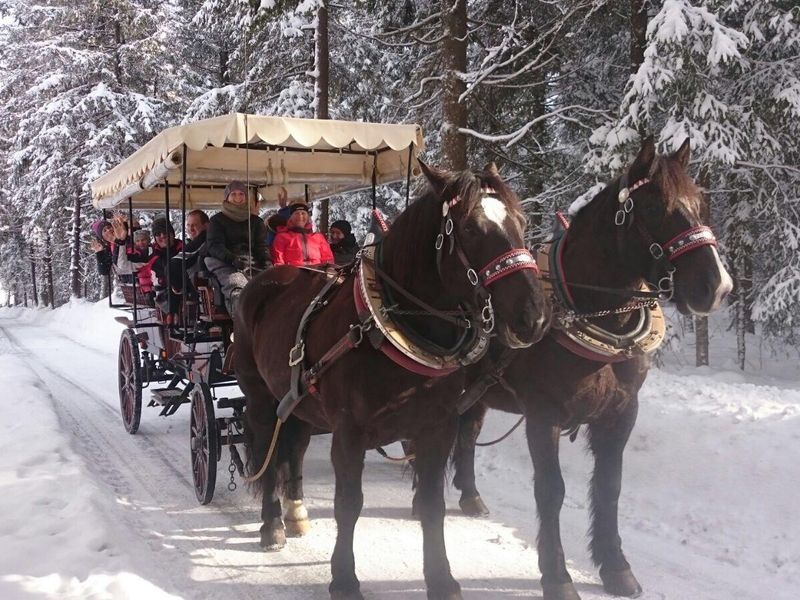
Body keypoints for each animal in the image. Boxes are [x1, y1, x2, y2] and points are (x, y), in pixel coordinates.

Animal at [234, 162, 552, 596]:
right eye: (470, 229)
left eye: (521, 222)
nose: (533, 317)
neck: (389, 324)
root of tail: (262, 281)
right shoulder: (349, 432)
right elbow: (348, 503)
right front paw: (344, 578)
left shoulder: (436, 428)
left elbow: (433, 504)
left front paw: (442, 579)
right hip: (261, 398)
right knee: (268, 453)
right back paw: (271, 525)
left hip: (297, 400)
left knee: (293, 448)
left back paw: (295, 512)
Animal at [446, 137, 736, 600]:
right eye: (652, 207)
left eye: (700, 202)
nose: (718, 286)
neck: (592, 311)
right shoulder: (543, 415)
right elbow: (551, 490)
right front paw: (557, 575)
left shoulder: (621, 413)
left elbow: (609, 486)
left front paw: (615, 567)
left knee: (468, 432)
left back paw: (470, 495)